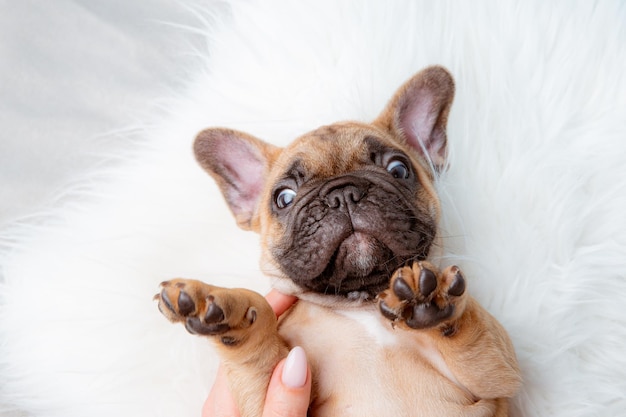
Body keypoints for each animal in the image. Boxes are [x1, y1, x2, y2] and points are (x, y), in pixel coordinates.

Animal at [157, 66, 520, 414]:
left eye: (399, 169)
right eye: (284, 198)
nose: (343, 193)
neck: (364, 305)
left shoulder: (498, 374)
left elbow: (474, 332)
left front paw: (434, 297)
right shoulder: (274, 386)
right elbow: (259, 323)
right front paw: (220, 302)